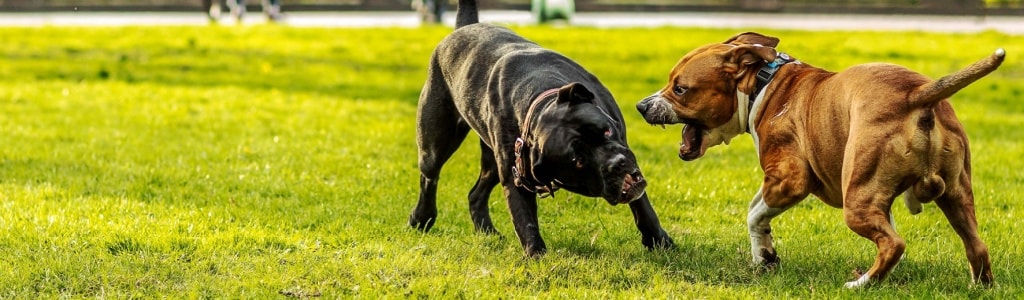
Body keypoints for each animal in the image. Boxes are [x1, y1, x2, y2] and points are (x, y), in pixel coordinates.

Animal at [411, 0, 675, 254]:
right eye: (578, 161)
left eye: (606, 131)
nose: (617, 164)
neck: (539, 99)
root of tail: (464, 27)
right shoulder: (515, 176)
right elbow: (524, 219)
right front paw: (536, 254)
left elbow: (643, 207)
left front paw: (659, 241)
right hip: (436, 143)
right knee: (429, 177)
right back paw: (421, 218)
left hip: (492, 160)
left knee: (475, 194)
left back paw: (487, 232)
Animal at [634, 31, 1003, 286]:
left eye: (680, 88)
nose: (640, 105)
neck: (763, 84)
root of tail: (917, 96)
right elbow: (755, 210)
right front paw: (763, 255)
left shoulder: (787, 180)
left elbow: (754, 212)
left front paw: (763, 255)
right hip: (956, 195)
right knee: (976, 245)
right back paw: (978, 286)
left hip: (857, 203)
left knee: (894, 244)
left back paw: (862, 283)